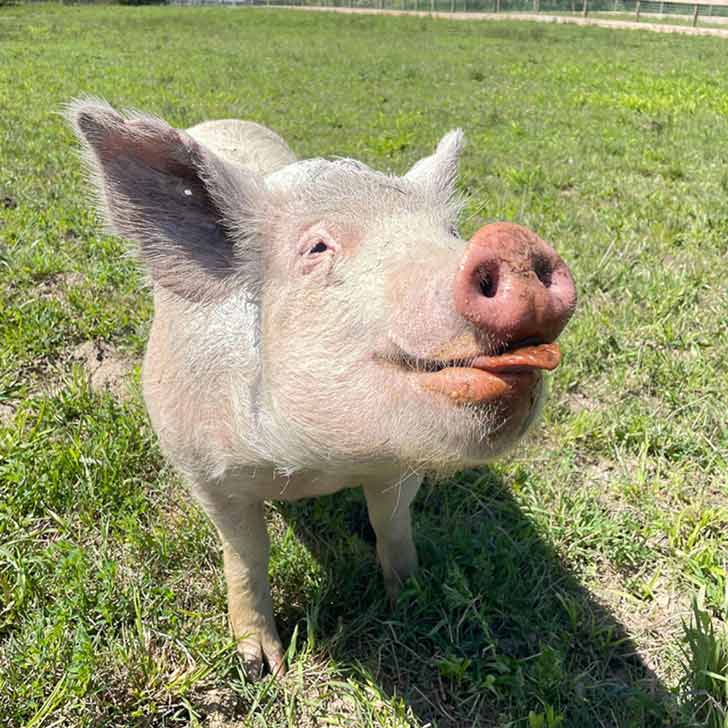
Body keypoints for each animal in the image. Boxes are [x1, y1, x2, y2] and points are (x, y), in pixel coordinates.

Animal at [67, 98, 576, 679]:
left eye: (451, 231)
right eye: (316, 247)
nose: (511, 241)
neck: (314, 465)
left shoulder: (398, 467)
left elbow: (391, 524)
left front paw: (413, 598)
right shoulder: (201, 467)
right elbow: (246, 552)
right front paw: (259, 668)